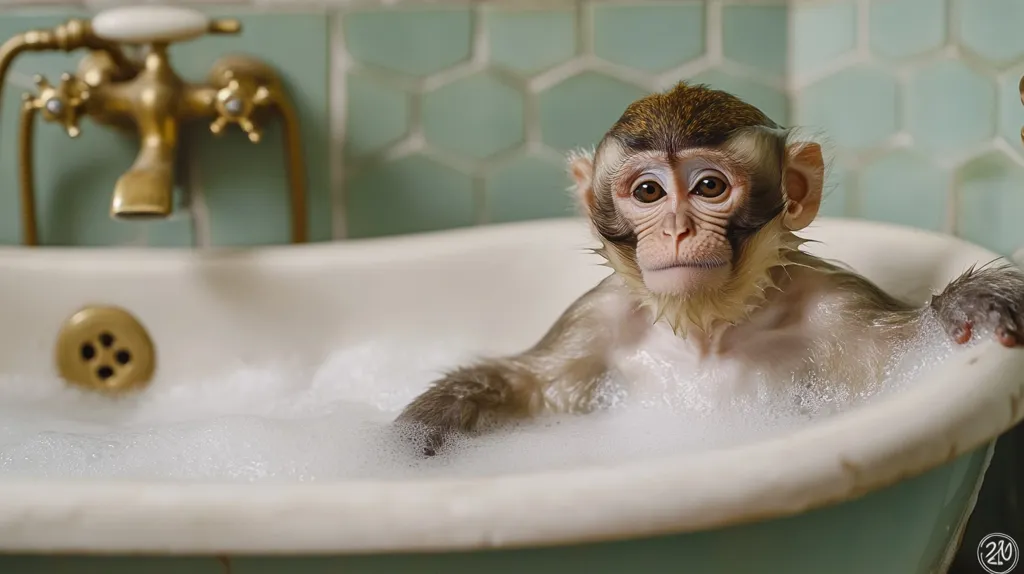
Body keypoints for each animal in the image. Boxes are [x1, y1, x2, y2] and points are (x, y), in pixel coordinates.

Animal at [395, 81, 1024, 457]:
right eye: (648, 191)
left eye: (709, 187)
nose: (676, 228)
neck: (710, 332)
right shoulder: (594, 318)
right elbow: (525, 385)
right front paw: (415, 440)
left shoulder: (837, 307)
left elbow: (898, 350)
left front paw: (966, 303)